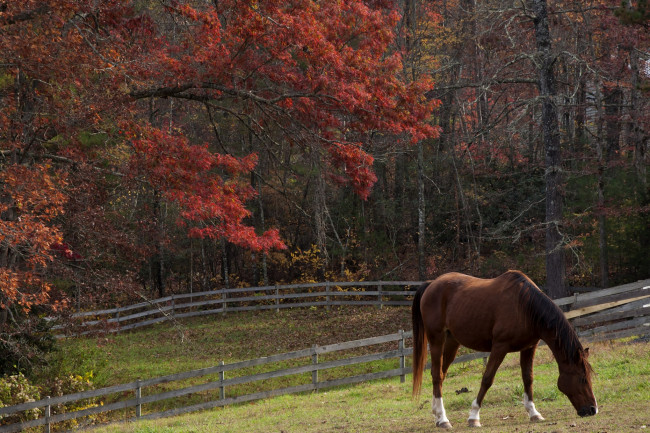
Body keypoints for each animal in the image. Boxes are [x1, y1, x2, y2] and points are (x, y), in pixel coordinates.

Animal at [412, 268, 596, 426]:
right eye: (582, 378)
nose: (593, 410)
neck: (524, 307)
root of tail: (432, 284)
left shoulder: (529, 347)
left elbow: (528, 378)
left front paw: (534, 413)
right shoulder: (500, 347)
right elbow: (487, 379)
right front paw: (474, 416)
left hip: (452, 342)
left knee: (441, 375)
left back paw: (437, 416)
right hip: (436, 339)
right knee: (437, 375)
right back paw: (443, 419)